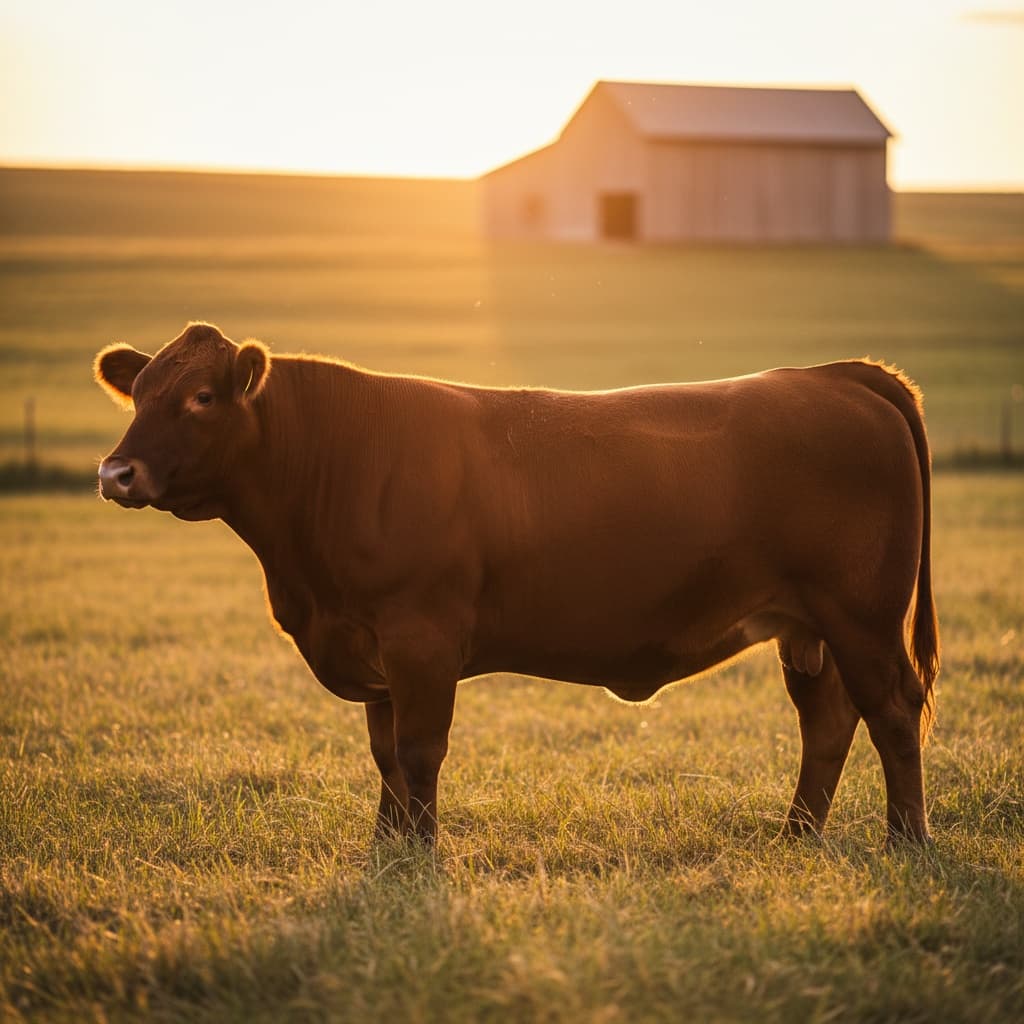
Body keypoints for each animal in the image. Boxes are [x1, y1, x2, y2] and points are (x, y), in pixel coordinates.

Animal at [95, 322, 939, 845]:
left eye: (202, 397)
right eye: (139, 395)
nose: (115, 472)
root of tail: (834, 377)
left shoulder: (421, 640)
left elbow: (418, 752)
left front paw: (419, 859)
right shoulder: (372, 650)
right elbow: (385, 757)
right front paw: (386, 853)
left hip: (862, 616)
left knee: (893, 714)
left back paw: (907, 842)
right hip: (809, 628)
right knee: (827, 721)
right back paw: (797, 837)